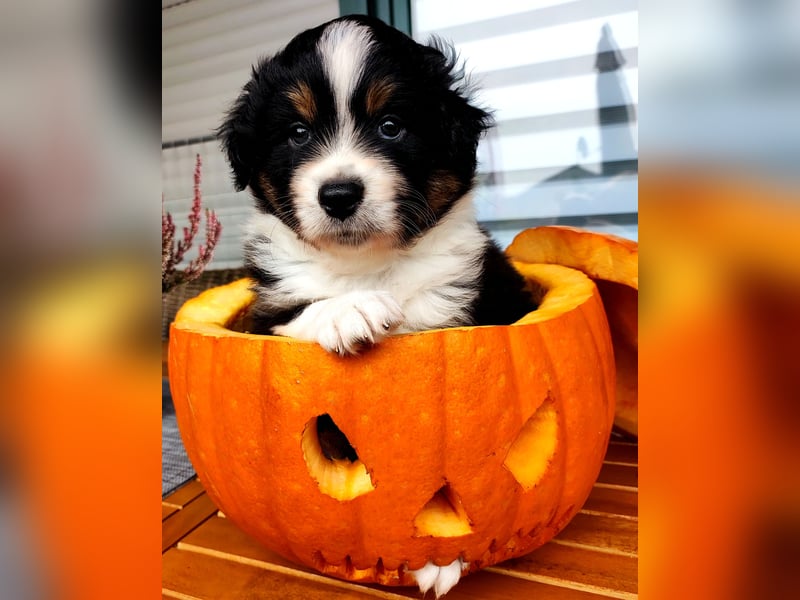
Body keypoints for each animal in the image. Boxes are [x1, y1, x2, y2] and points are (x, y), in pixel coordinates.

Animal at [217, 14, 536, 596]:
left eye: (391, 126)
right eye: (298, 133)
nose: (339, 195)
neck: (367, 265)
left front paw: (438, 561)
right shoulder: (266, 313)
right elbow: (302, 312)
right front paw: (350, 311)